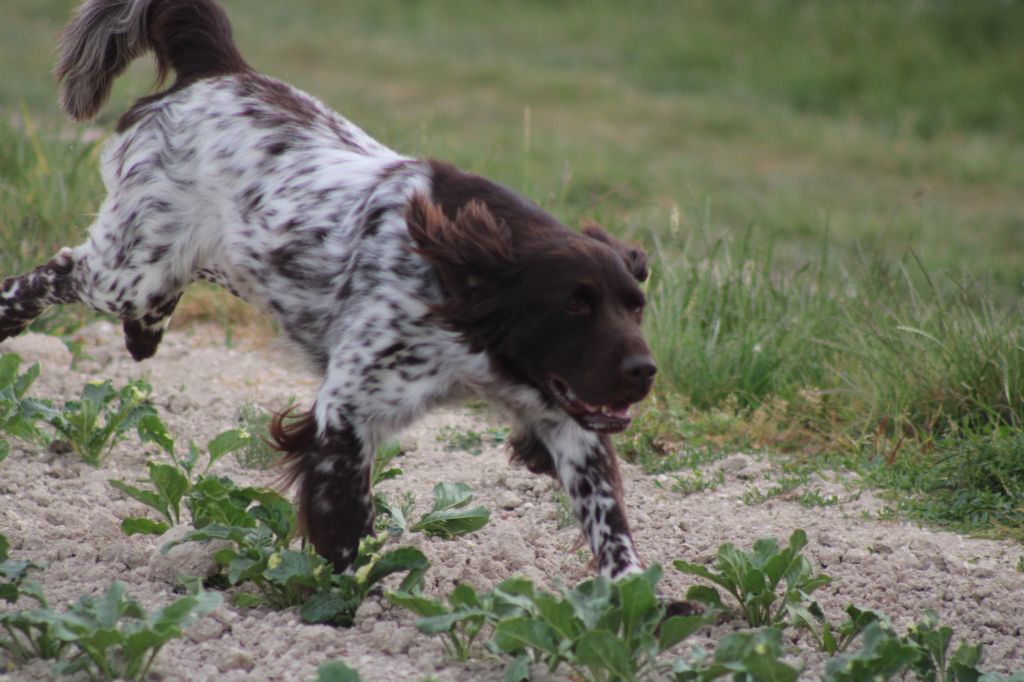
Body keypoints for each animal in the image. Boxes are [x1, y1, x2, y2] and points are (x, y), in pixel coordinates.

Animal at [0, 0, 655, 577]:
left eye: (636, 307)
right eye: (574, 305)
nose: (645, 370)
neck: (456, 286)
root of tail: (220, 69)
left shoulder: (568, 421)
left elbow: (610, 524)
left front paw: (634, 603)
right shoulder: (347, 410)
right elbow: (344, 523)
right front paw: (349, 601)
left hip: (197, 261)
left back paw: (145, 333)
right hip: (132, 271)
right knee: (54, 272)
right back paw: (13, 317)